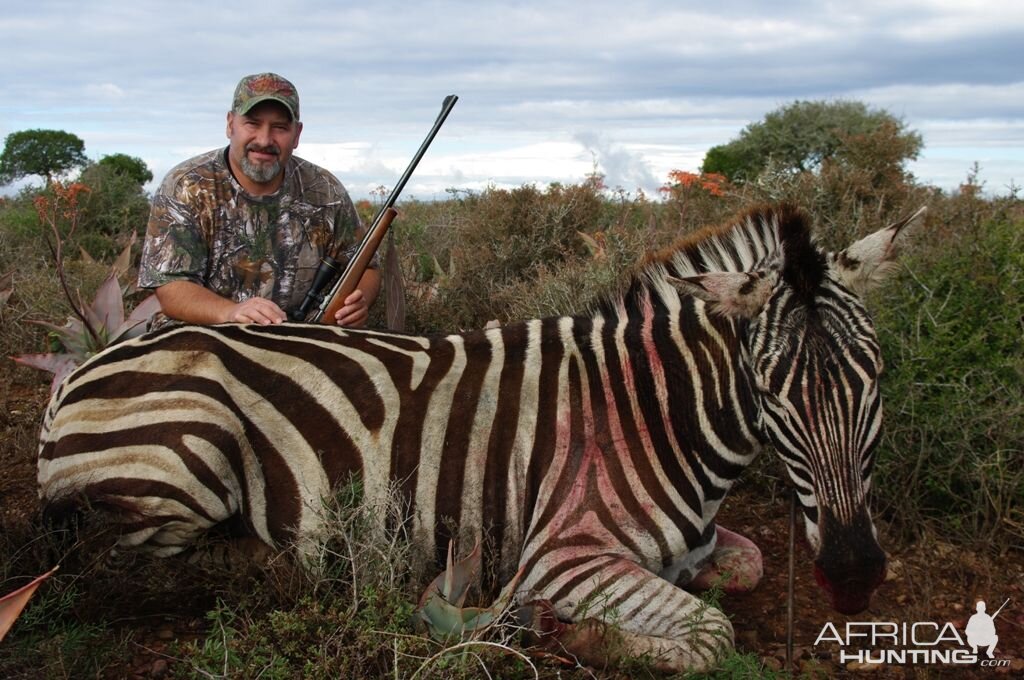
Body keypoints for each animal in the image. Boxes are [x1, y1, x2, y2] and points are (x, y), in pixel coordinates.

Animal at [36, 201, 925, 667]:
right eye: (769, 388)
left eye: (877, 376)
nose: (854, 573)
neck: (655, 413)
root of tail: (91, 362)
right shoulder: (563, 555)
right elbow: (708, 637)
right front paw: (553, 629)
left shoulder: (701, 544)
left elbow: (742, 569)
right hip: (184, 462)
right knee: (136, 564)